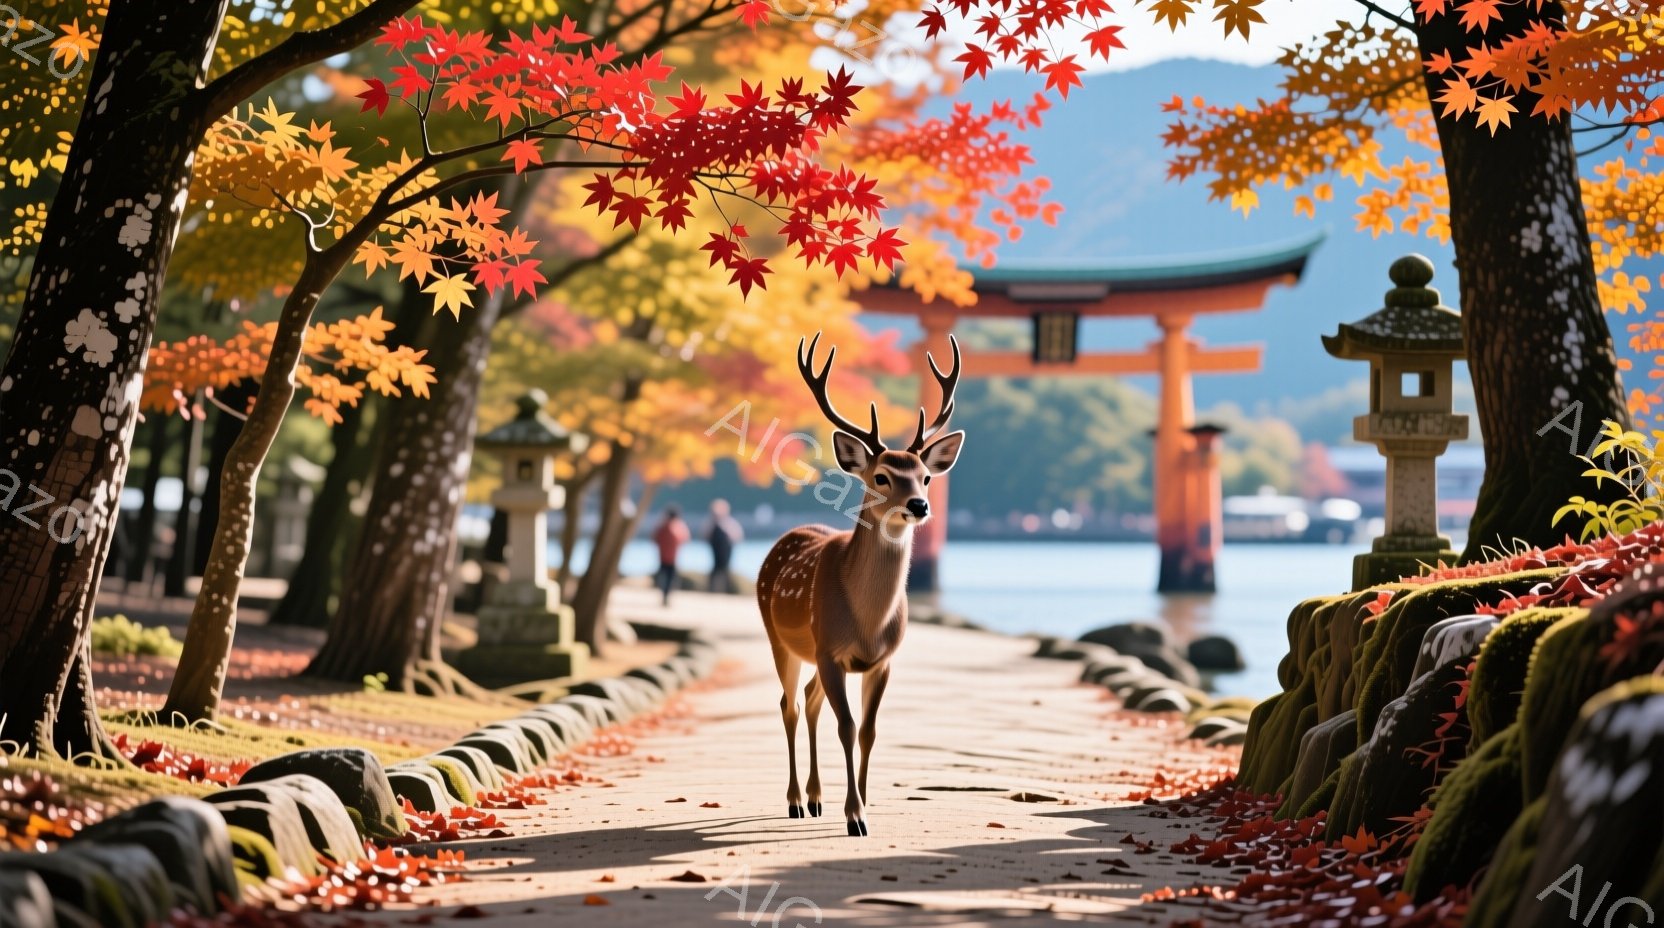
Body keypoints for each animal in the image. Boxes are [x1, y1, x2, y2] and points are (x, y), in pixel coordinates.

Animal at [755, 331, 964, 836]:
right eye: (882, 476)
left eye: (926, 477)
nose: (919, 505)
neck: (867, 622)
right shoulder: (831, 651)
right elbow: (846, 727)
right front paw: (854, 816)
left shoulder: (882, 660)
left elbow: (868, 730)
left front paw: (865, 805)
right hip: (780, 639)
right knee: (789, 704)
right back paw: (795, 800)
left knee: (809, 700)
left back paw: (816, 799)